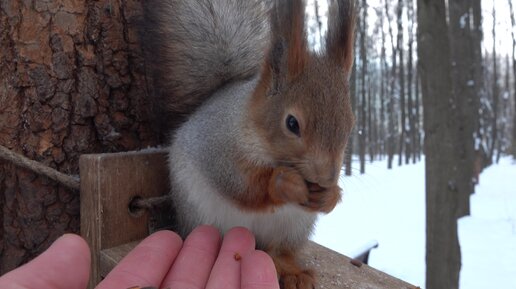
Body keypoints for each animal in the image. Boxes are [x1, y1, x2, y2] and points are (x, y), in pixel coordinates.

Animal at [143, 0, 356, 286]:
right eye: (292, 123)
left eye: (351, 124)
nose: (326, 178)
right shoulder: (217, 146)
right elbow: (239, 183)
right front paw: (284, 183)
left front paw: (330, 196)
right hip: (202, 215)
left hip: (293, 228)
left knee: (277, 250)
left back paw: (291, 270)